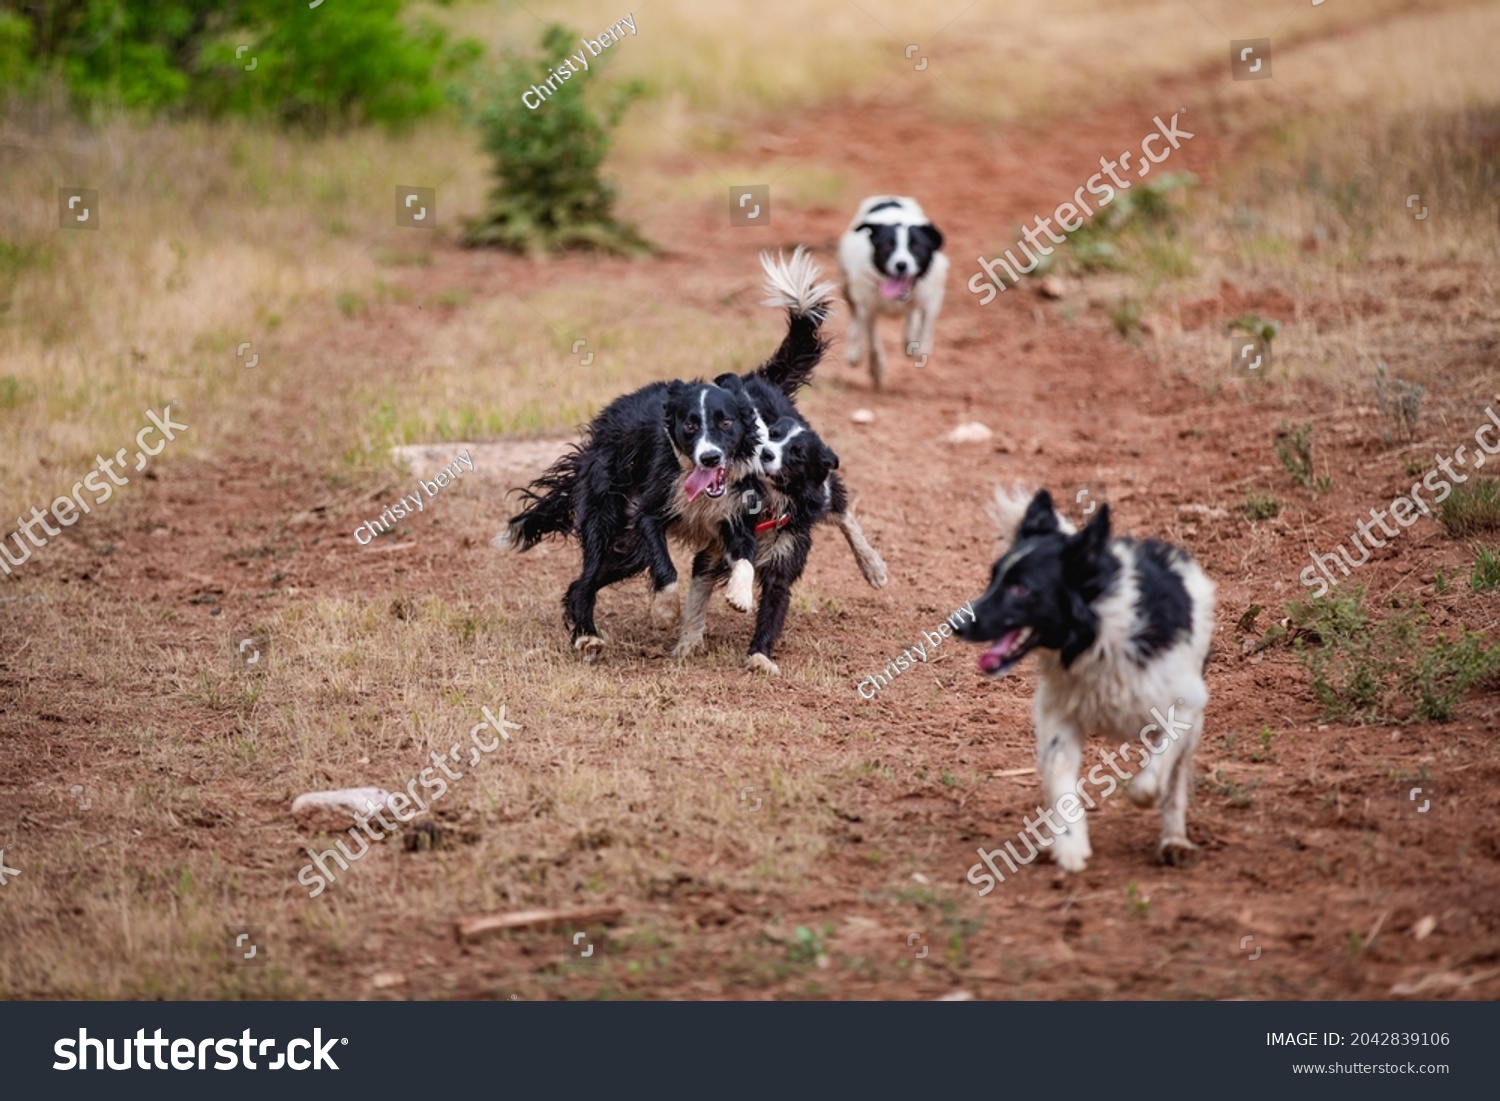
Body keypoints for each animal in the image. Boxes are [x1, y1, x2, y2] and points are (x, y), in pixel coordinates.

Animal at [834, 196, 948, 390]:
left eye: (915, 246)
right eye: (888, 246)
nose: (901, 265)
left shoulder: (931, 293)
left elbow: (926, 322)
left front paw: (919, 346)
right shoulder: (868, 306)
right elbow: (872, 341)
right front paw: (877, 369)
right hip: (847, 284)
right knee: (855, 315)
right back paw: (854, 351)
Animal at [960, 486, 1218, 876]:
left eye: (1020, 588)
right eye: (994, 579)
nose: (956, 624)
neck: (1098, 638)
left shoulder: (1185, 706)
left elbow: (1158, 769)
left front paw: (1142, 795)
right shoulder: (1057, 717)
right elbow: (1060, 781)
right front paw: (1070, 845)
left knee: (1175, 783)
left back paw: (1173, 840)